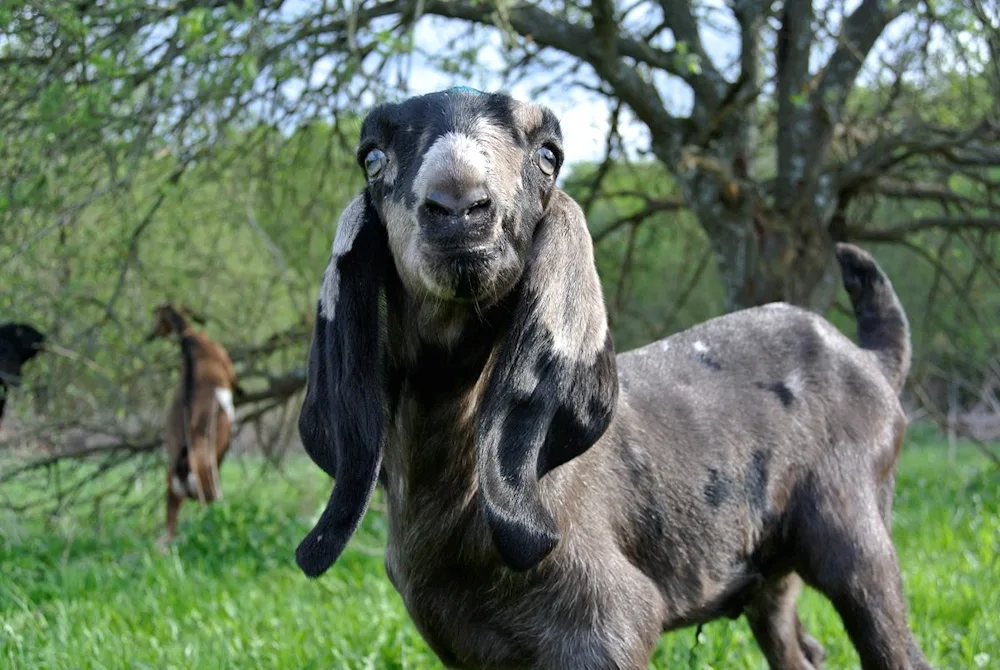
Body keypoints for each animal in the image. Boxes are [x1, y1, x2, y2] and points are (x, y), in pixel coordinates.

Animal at [146, 304, 240, 544]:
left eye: (157, 320)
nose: (151, 335)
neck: (191, 342)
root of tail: (183, 465)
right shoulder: (228, 367)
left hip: (173, 496)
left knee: (168, 536)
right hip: (210, 494)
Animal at [294, 90, 928, 670]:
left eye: (549, 155)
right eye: (372, 157)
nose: (459, 208)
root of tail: (872, 358)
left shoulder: (608, 626)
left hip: (855, 534)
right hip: (770, 572)